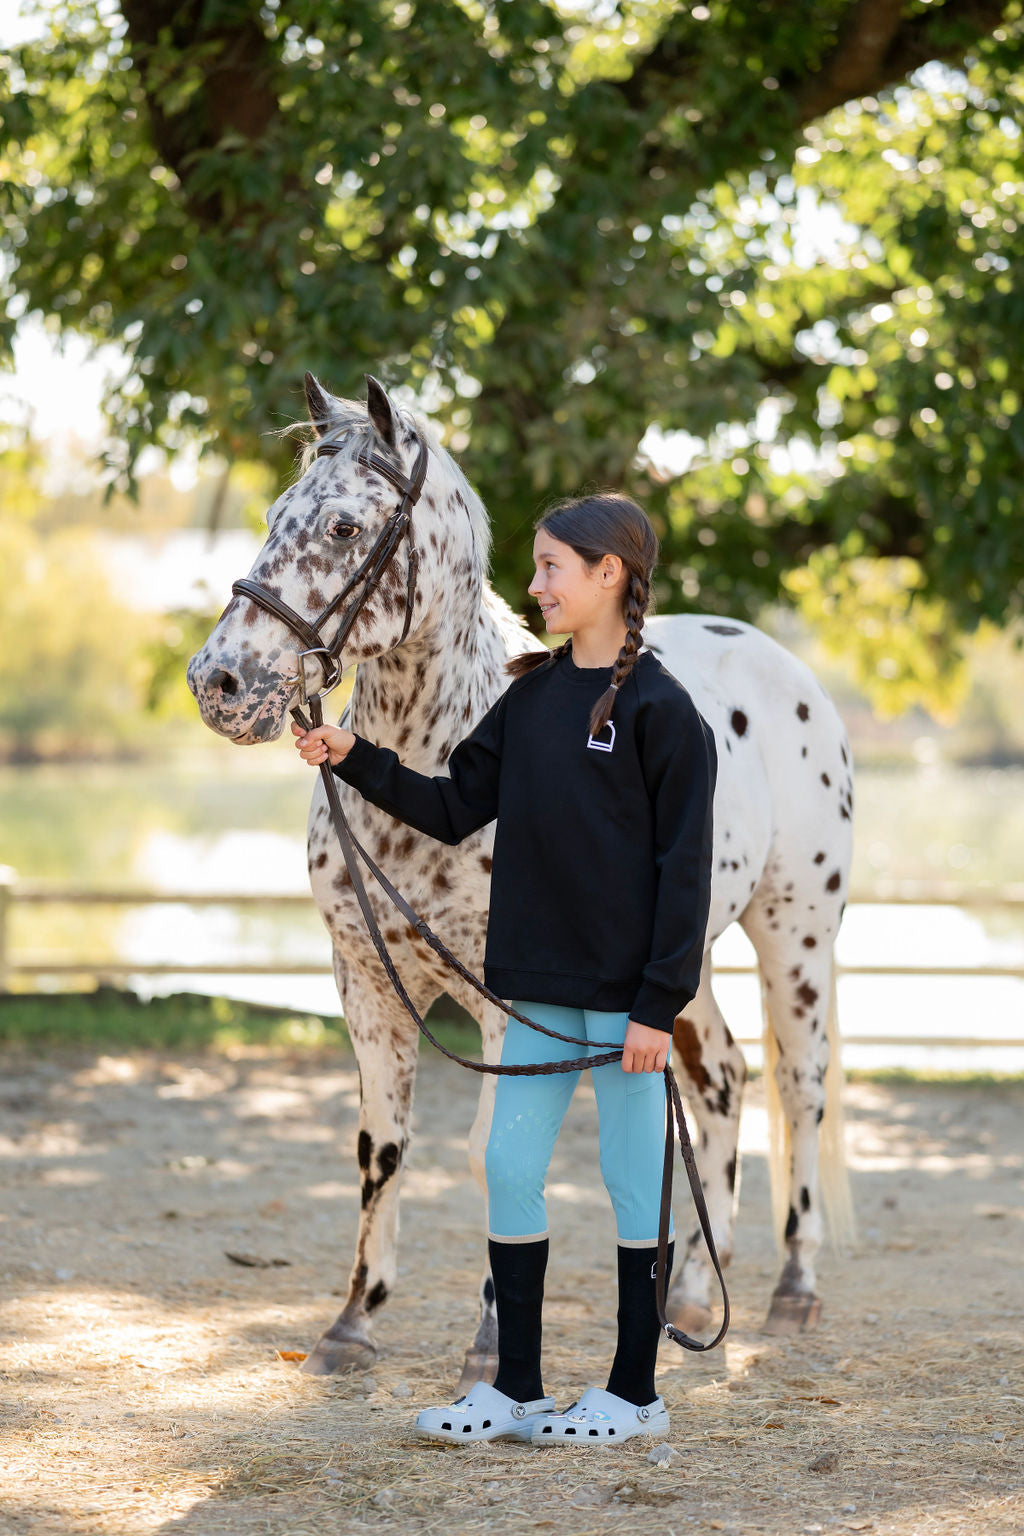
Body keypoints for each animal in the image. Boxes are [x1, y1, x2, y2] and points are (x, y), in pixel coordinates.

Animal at [188, 377, 853, 1388]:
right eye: (273, 518)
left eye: (343, 527)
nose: (219, 682)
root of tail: (790, 674)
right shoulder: (364, 985)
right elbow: (381, 1149)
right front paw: (353, 1323)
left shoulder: (507, 1002)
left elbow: (490, 1151)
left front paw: (490, 1342)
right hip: (679, 963)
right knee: (720, 1082)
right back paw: (695, 1294)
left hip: (797, 935)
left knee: (799, 1084)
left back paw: (796, 1288)